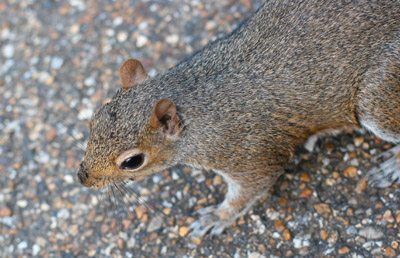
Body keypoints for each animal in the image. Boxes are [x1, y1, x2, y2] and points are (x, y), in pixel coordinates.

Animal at [77, 0, 400, 238]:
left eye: (132, 161)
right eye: (95, 119)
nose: (83, 178)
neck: (197, 104)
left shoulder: (252, 154)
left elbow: (248, 191)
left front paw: (217, 216)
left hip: (378, 97)